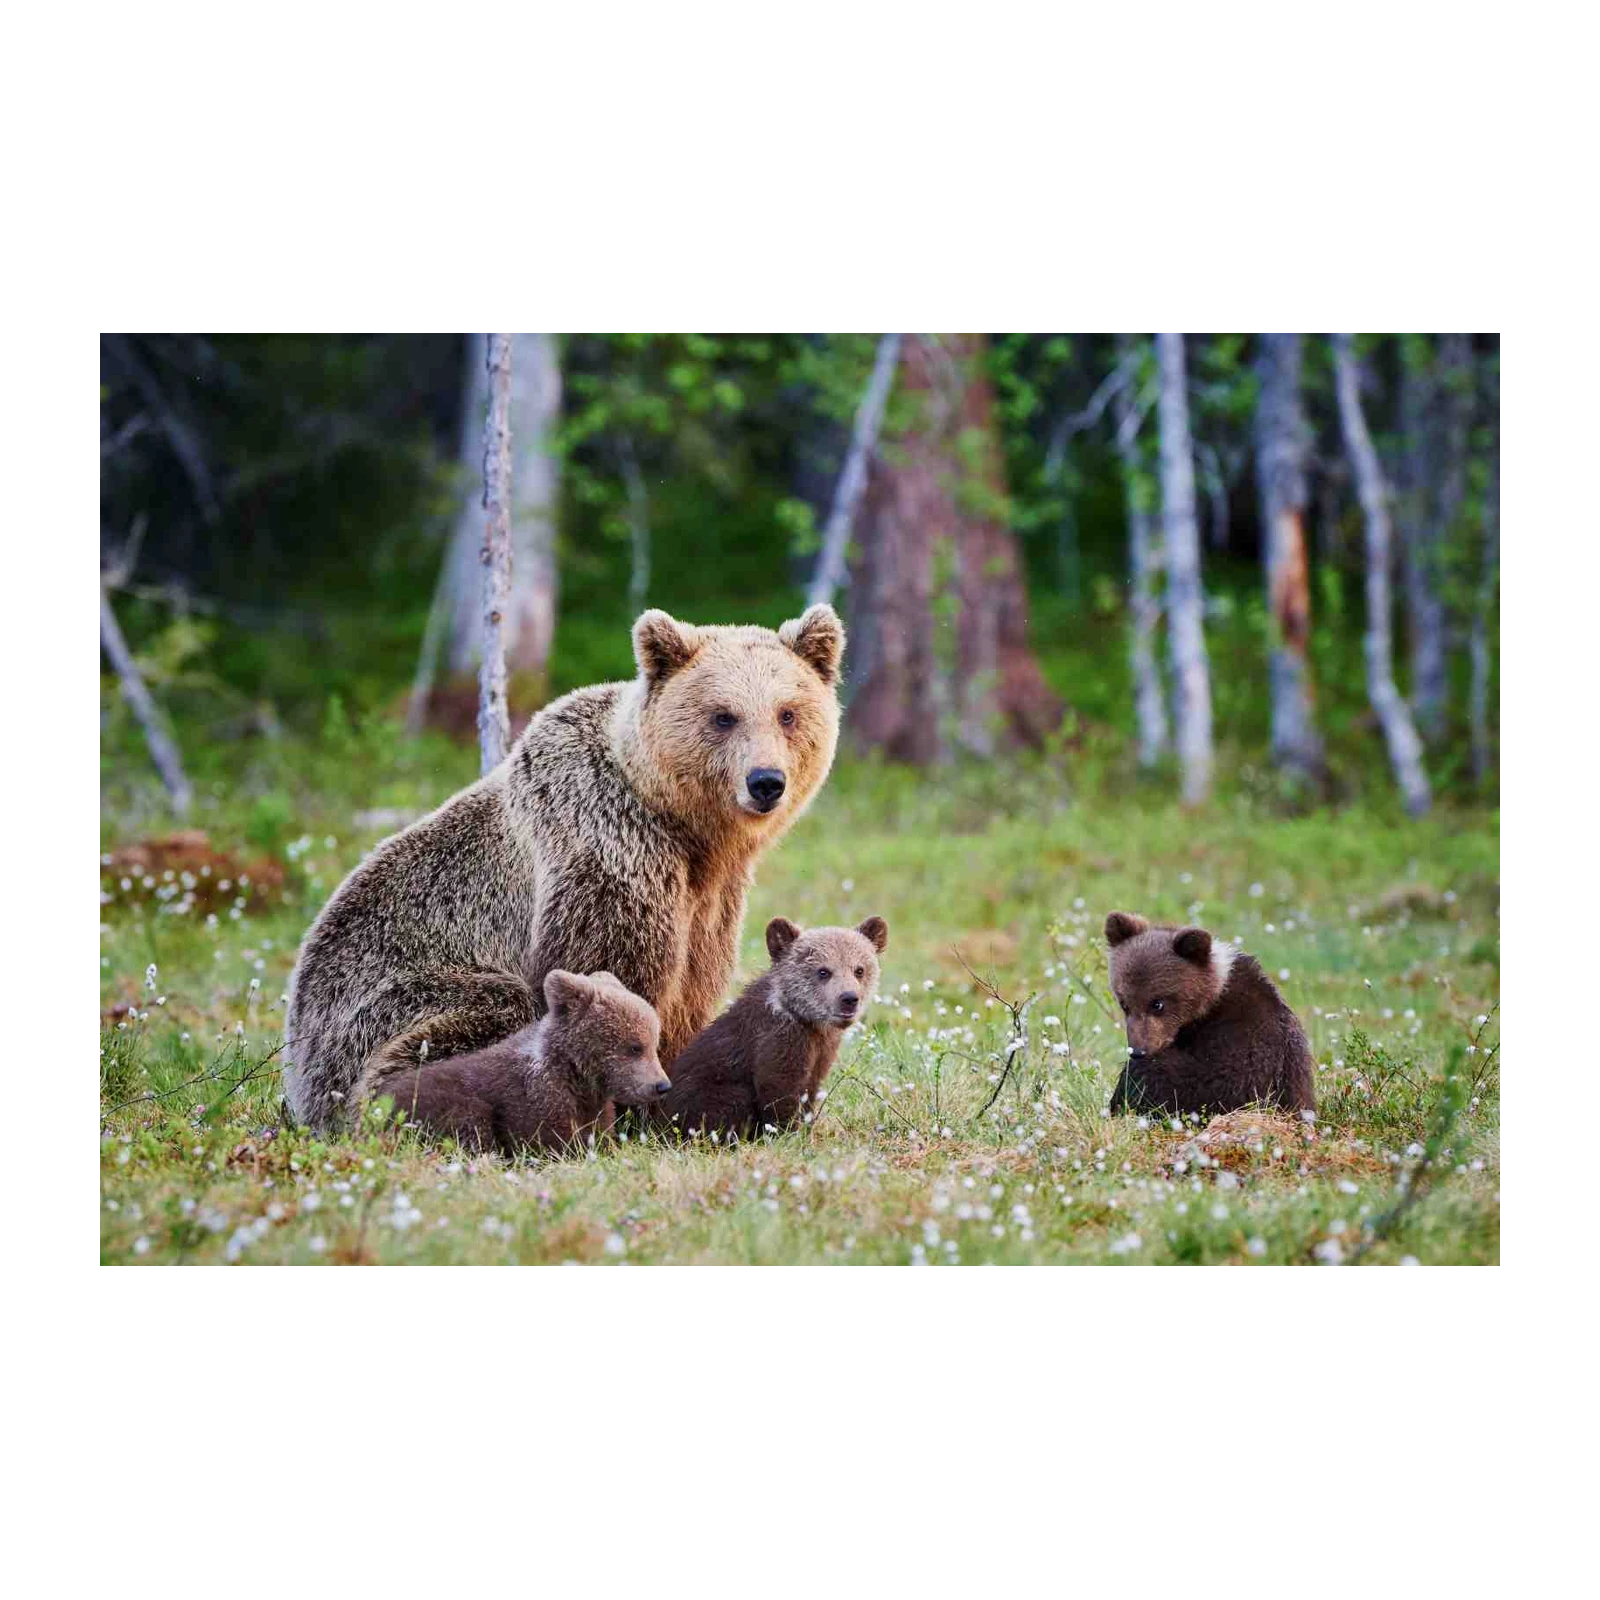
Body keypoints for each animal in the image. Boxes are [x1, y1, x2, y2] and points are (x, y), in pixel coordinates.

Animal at [284, 603, 846, 1132]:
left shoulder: (710, 898)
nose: (765, 781)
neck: (685, 829)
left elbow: (693, 987)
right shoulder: (606, 851)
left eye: (788, 713)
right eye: (723, 715)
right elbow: (611, 976)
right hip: (382, 1005)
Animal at [374, 970, 669, 1158]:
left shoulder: (594, 1106)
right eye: (635, 1047)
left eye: (653, 1044)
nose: (661, 1085)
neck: (578, 1077)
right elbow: (549, 1139)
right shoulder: (535, 1097)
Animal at [647, 915, 888, 1139]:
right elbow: (778, 1092)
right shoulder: (779, 1041)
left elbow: (809, 1091)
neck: (809, 1023)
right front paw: (787, 1134)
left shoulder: (822, 1051)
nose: (849, 998)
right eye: (823, 971)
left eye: (859, 969)